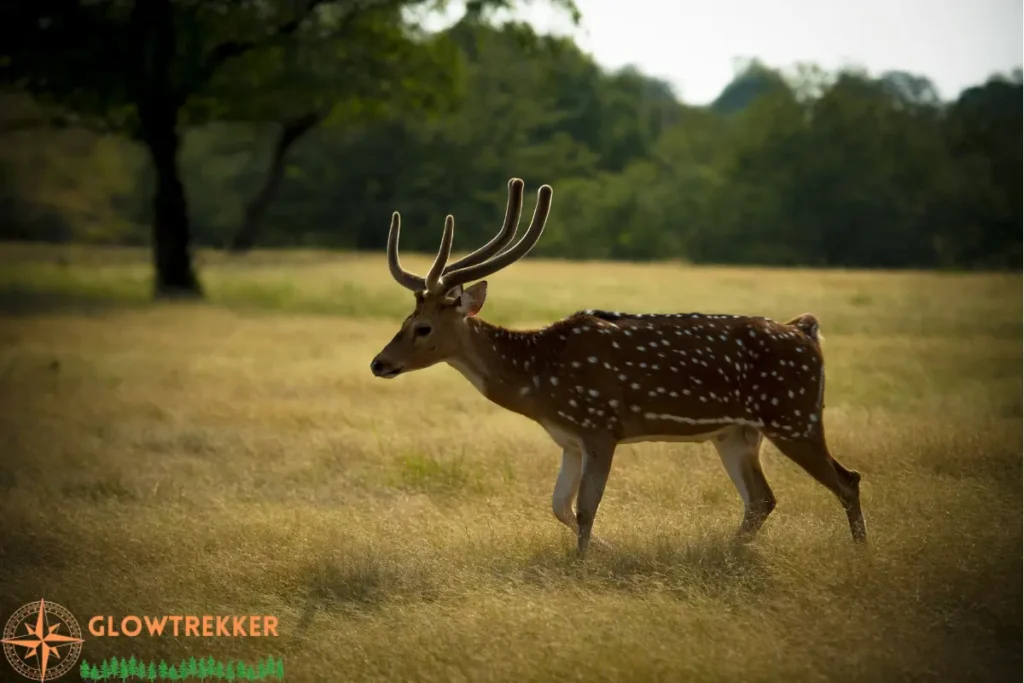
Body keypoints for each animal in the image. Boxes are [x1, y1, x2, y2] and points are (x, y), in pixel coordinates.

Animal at [368, 178, 864, 557]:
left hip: (795, 415)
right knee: (762, 499)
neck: (538, 381)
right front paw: (605, 550)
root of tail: (807, 331)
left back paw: (859, 553)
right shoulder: (568, 440)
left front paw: (583, 562)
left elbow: (586, 507)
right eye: (404, 321)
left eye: (423, 328)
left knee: (847, 479)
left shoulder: (600, 425)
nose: (378, 363)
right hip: (736, 433)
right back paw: (725, 552)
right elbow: (558, 505)